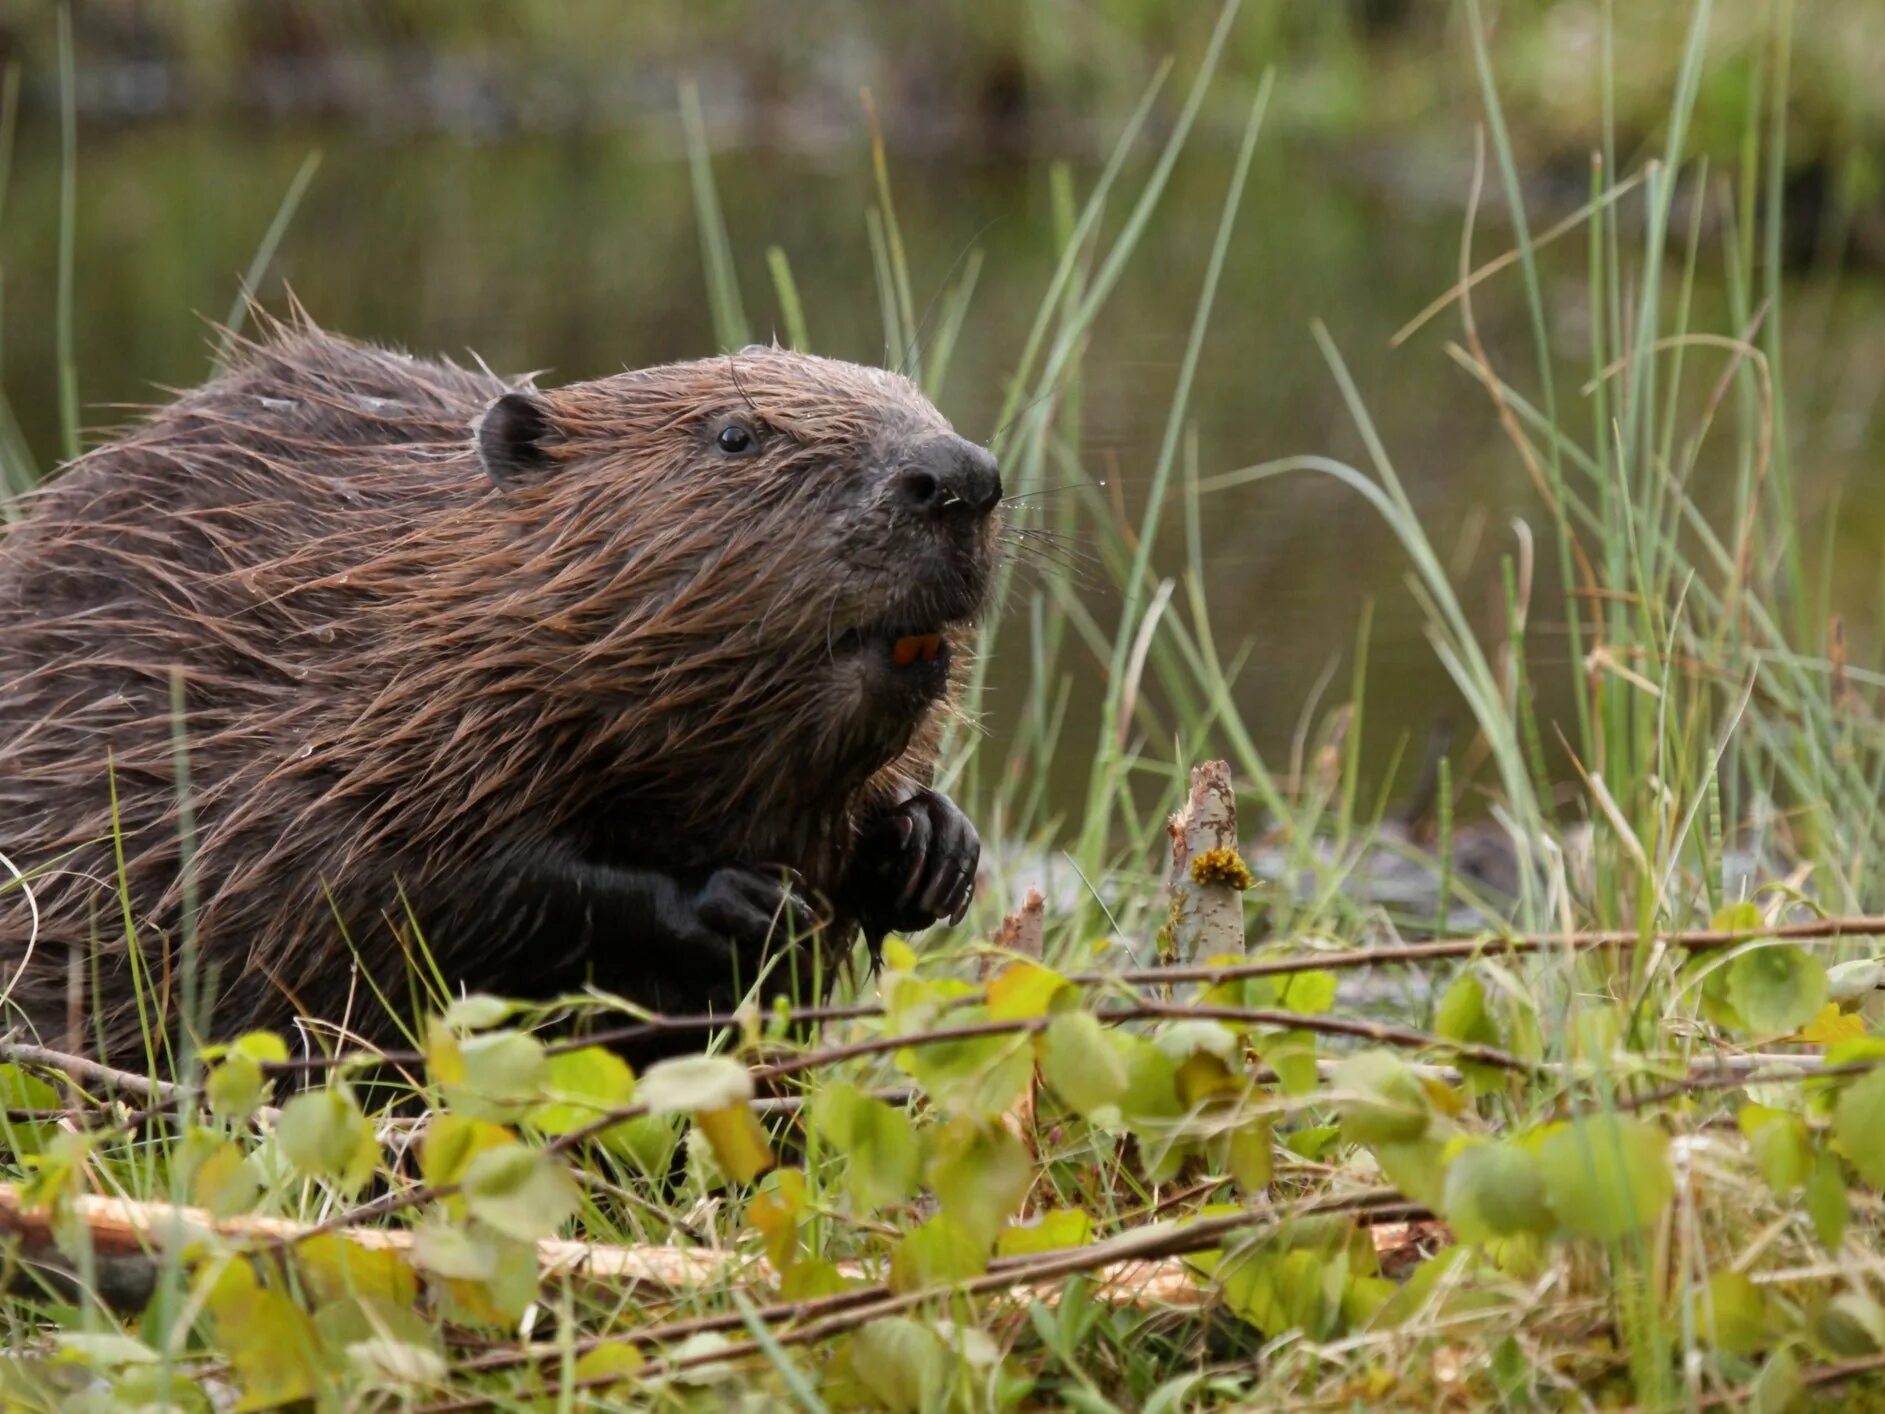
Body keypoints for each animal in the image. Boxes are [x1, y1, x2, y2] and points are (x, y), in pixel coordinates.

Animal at [0, 314, 1002, 1055]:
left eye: (919, 399)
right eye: (734, 435)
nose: (959, 475)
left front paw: (931, 848)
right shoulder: (331, 723)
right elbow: (407, 883)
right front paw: (741, 900)